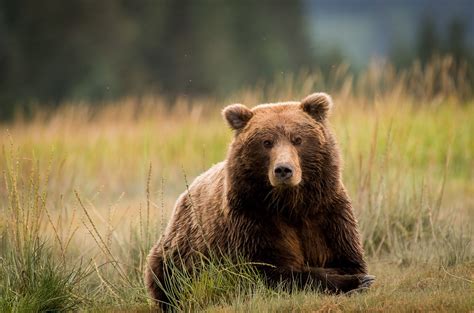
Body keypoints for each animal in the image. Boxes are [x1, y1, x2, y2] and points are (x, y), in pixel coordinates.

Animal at [144, 91, 374, 306]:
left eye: (298, 139)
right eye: (267, 142)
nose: (283, 170)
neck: (290, 204)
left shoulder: (327, 213)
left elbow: (347, 257)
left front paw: (359, 277)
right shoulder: (253, 218)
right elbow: (269, 270)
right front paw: (354, 280)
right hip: (175, 254)